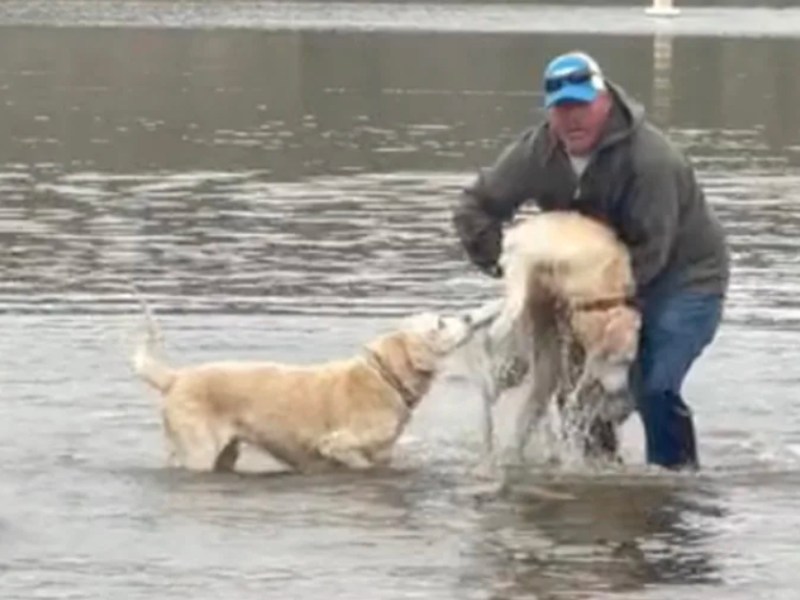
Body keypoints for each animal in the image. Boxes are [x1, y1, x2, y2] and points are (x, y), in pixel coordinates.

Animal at [130, 296, 490, 474]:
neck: (386, 377)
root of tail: (175, 377)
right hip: (200, 452)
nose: (469, 317)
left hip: (224, 452)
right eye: (440, 323)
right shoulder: (336, 445)